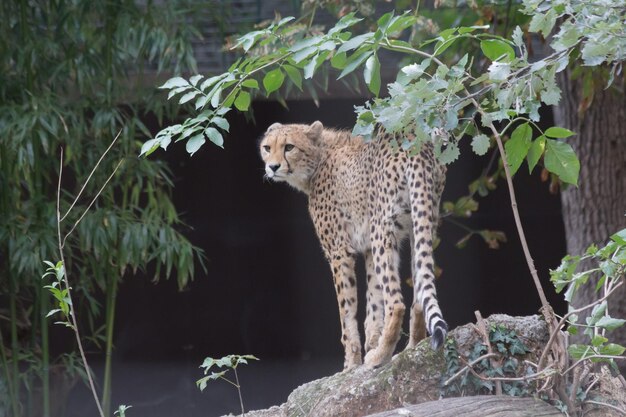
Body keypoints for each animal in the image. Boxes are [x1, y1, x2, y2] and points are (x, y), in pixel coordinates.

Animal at [260, 120, 448, 368]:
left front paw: (351, 364)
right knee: (418, 296)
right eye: (267, 148)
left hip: (382, 227)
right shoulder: (368, 248)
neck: (319, 157)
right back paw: (411, 350)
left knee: (396, 303)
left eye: (289, 147)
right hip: (422, 222)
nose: (272, 167)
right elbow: (374, 304)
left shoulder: (339, 251)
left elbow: (347, 315)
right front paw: (373, 343)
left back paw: (380, 356)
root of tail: (413, 138)